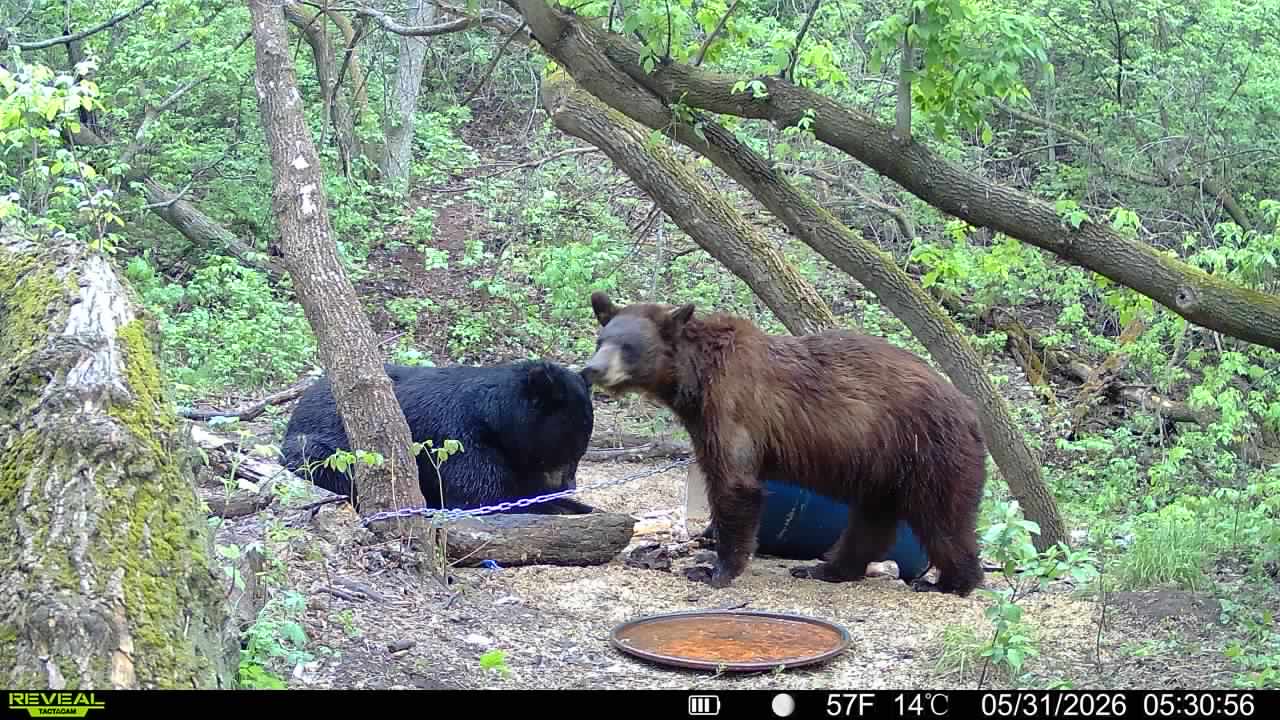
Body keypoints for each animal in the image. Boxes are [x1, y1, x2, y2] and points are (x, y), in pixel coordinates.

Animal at [281, 359, 598, 516]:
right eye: (566, 451)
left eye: (577, 454)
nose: (569, 485)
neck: (493, 421)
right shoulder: (457, 438)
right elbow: (483, 494)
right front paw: (556, 505)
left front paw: (577, 505)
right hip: (323, 448)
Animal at [581, 291, 988, 597]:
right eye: (601, 340)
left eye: (628, 345)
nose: (592, 369)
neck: (694, 379)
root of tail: (971, 410)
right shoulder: (702, 419)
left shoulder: (732, 404)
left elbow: (735, 484)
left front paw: (714, 568)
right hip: (885, 467)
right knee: (873, 520)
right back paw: (827, 569)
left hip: (927, 452)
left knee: (944, 518)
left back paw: (951, 582)